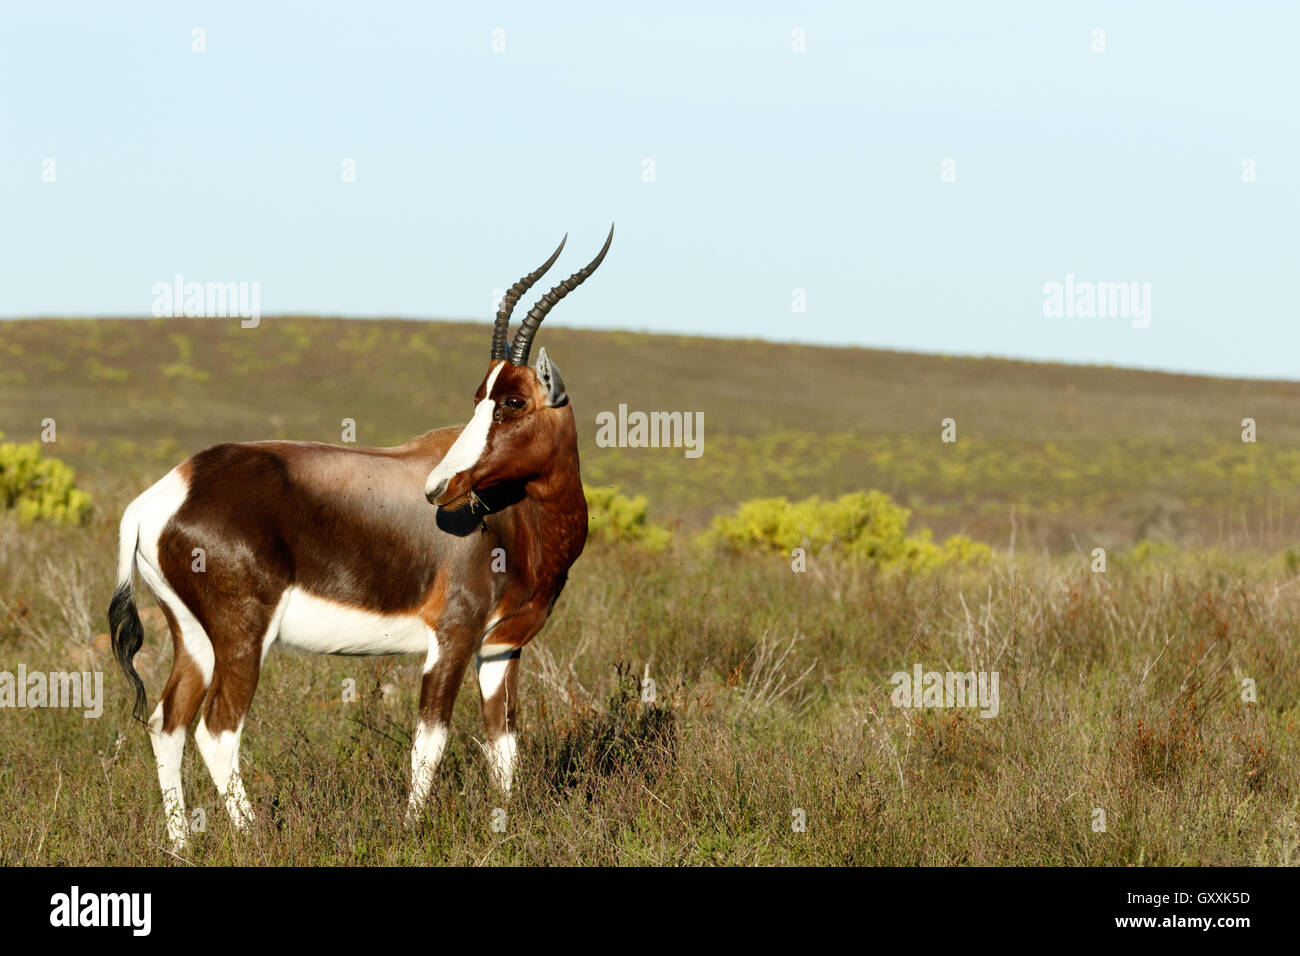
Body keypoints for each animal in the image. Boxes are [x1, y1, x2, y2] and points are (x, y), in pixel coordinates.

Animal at [106, 227, 608, 848]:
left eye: (512, 400)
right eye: (481, 398)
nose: (438, 487)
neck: (512, 518)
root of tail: (167, 490)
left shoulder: (501, 649)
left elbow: (504, 747)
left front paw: (503, 831)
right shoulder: (452, 640)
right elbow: (430, 744)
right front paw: (411, 832)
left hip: (194, 635)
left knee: (166, 723)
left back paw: (182, 844)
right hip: (243, 635)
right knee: (217, 730)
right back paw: (256, 837)